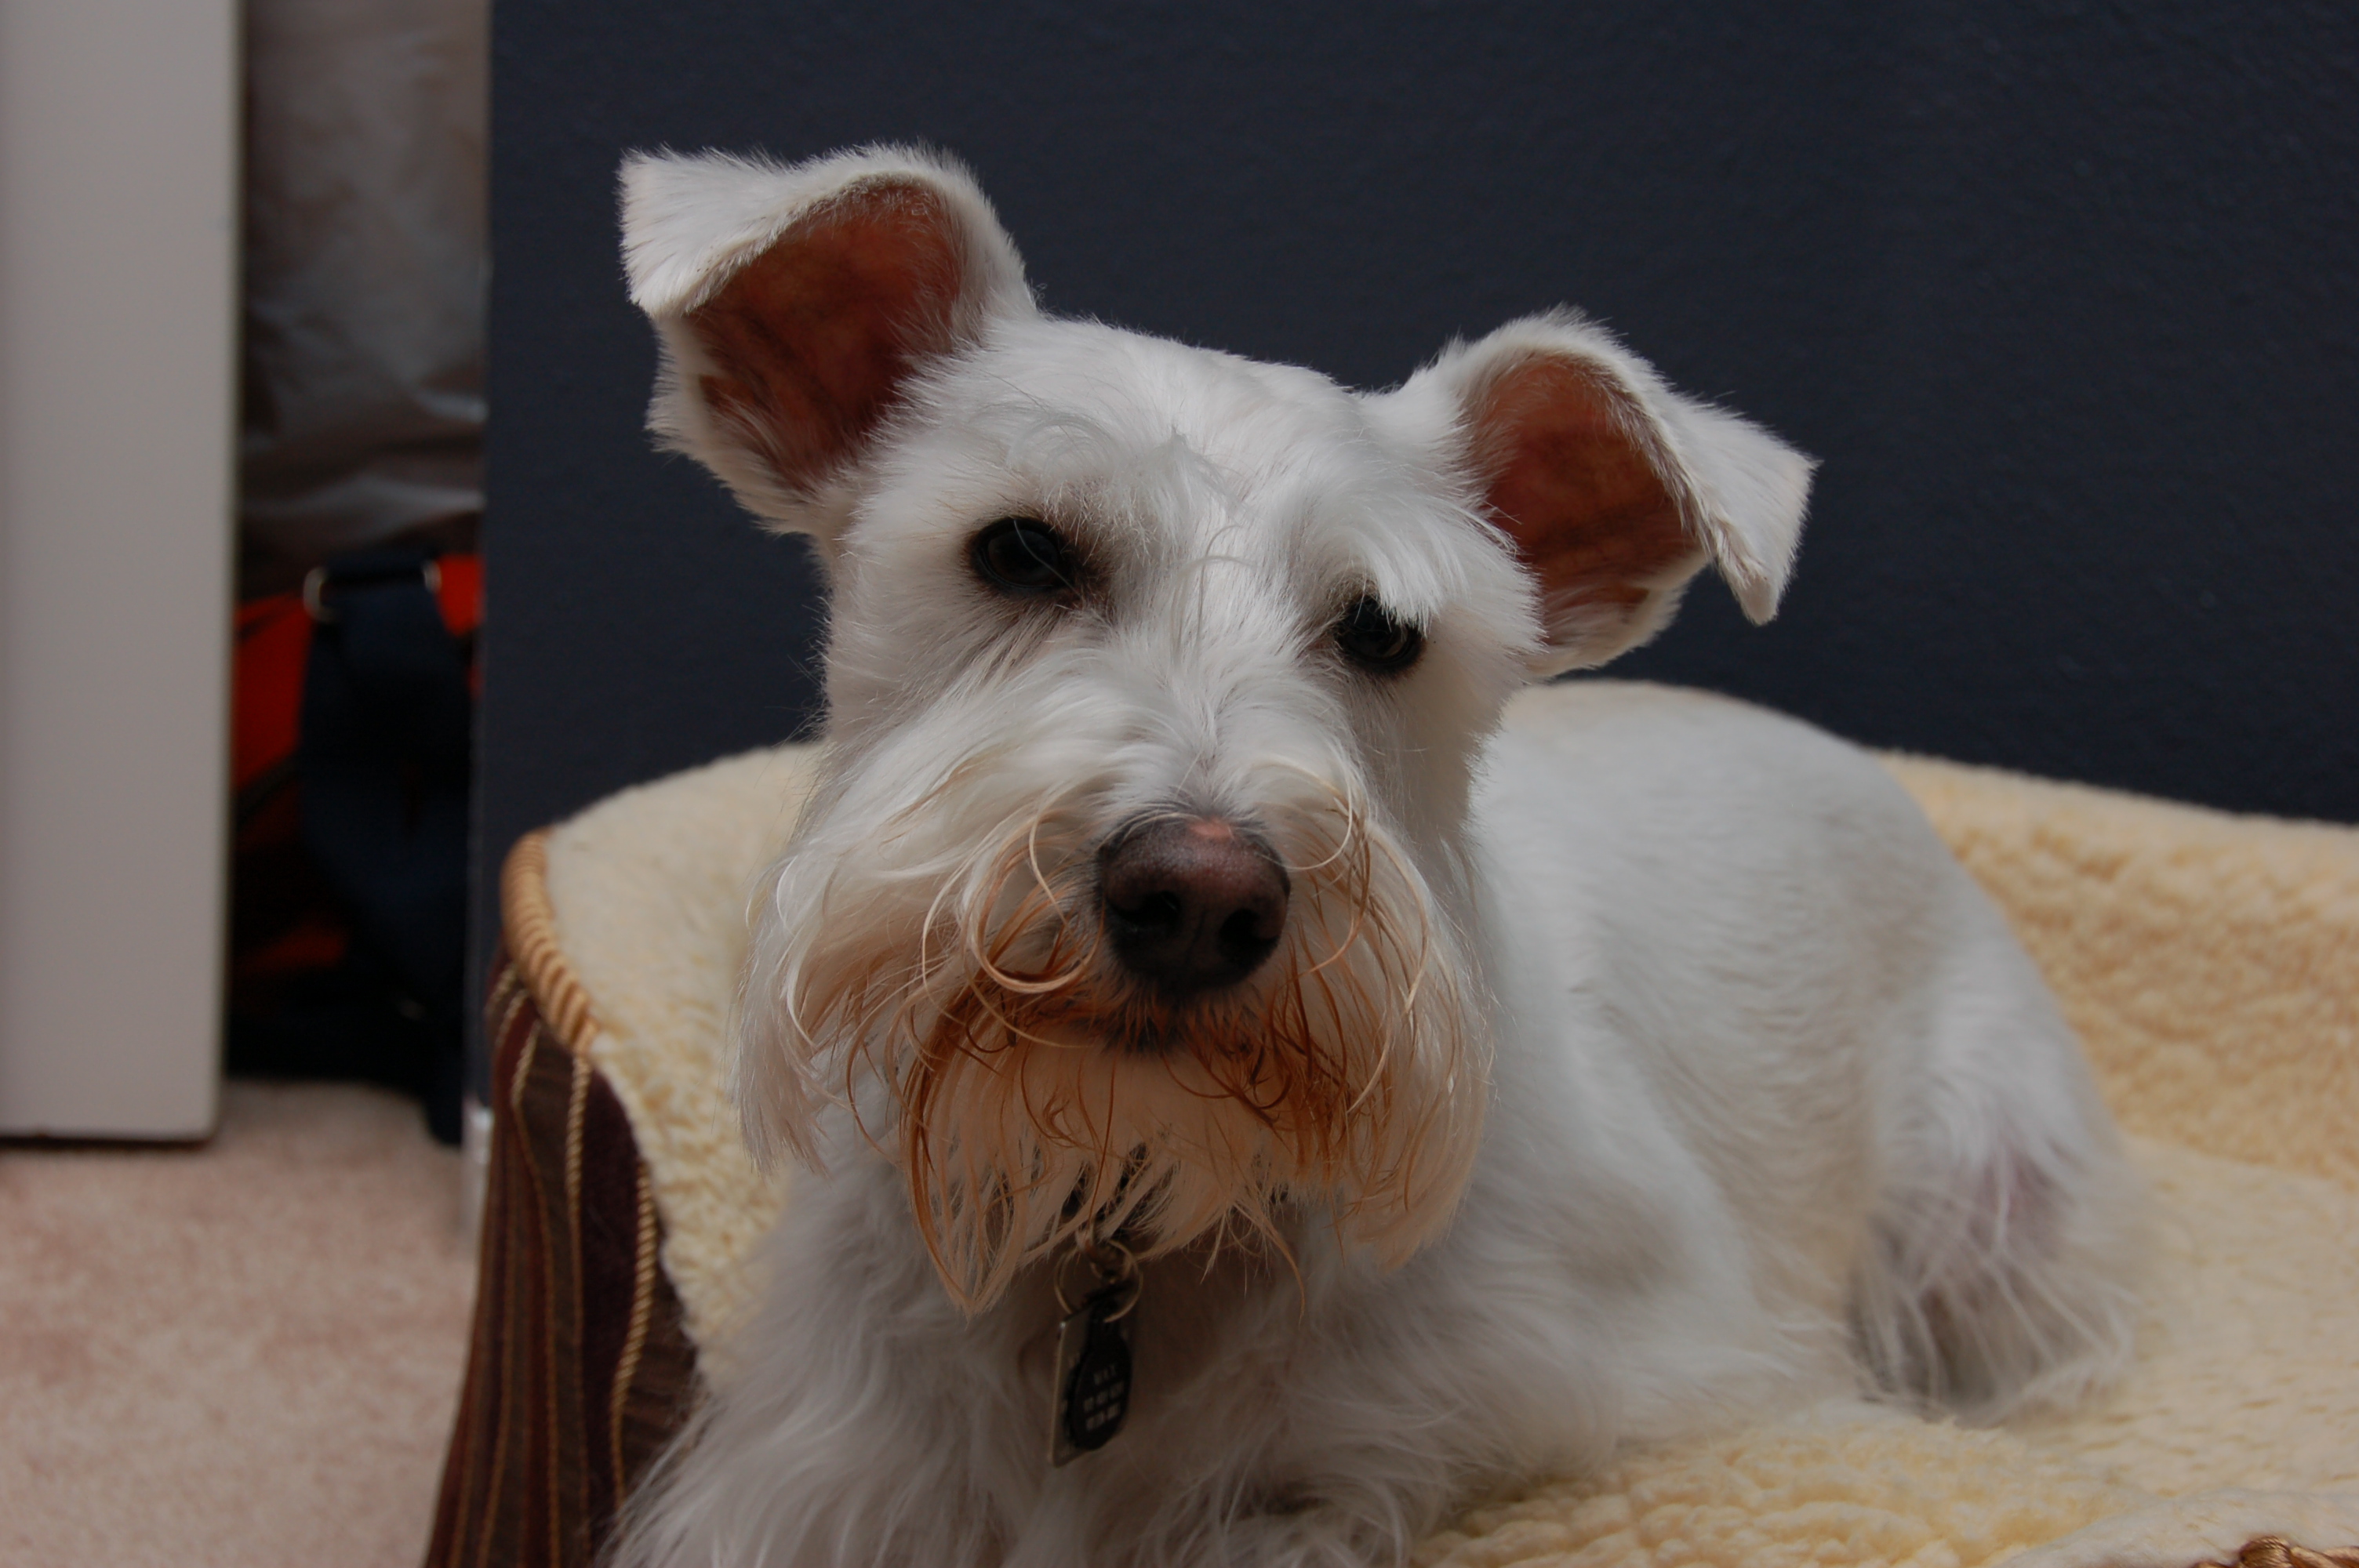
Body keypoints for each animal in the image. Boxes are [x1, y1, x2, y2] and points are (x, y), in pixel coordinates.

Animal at [607, 146, 2143, 1568]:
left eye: (1384, 632)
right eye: (1023, 549)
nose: (1198, 899)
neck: (1129, 1210)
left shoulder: (1595, 1395)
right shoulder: (819, 1473)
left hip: (1996, 1214)